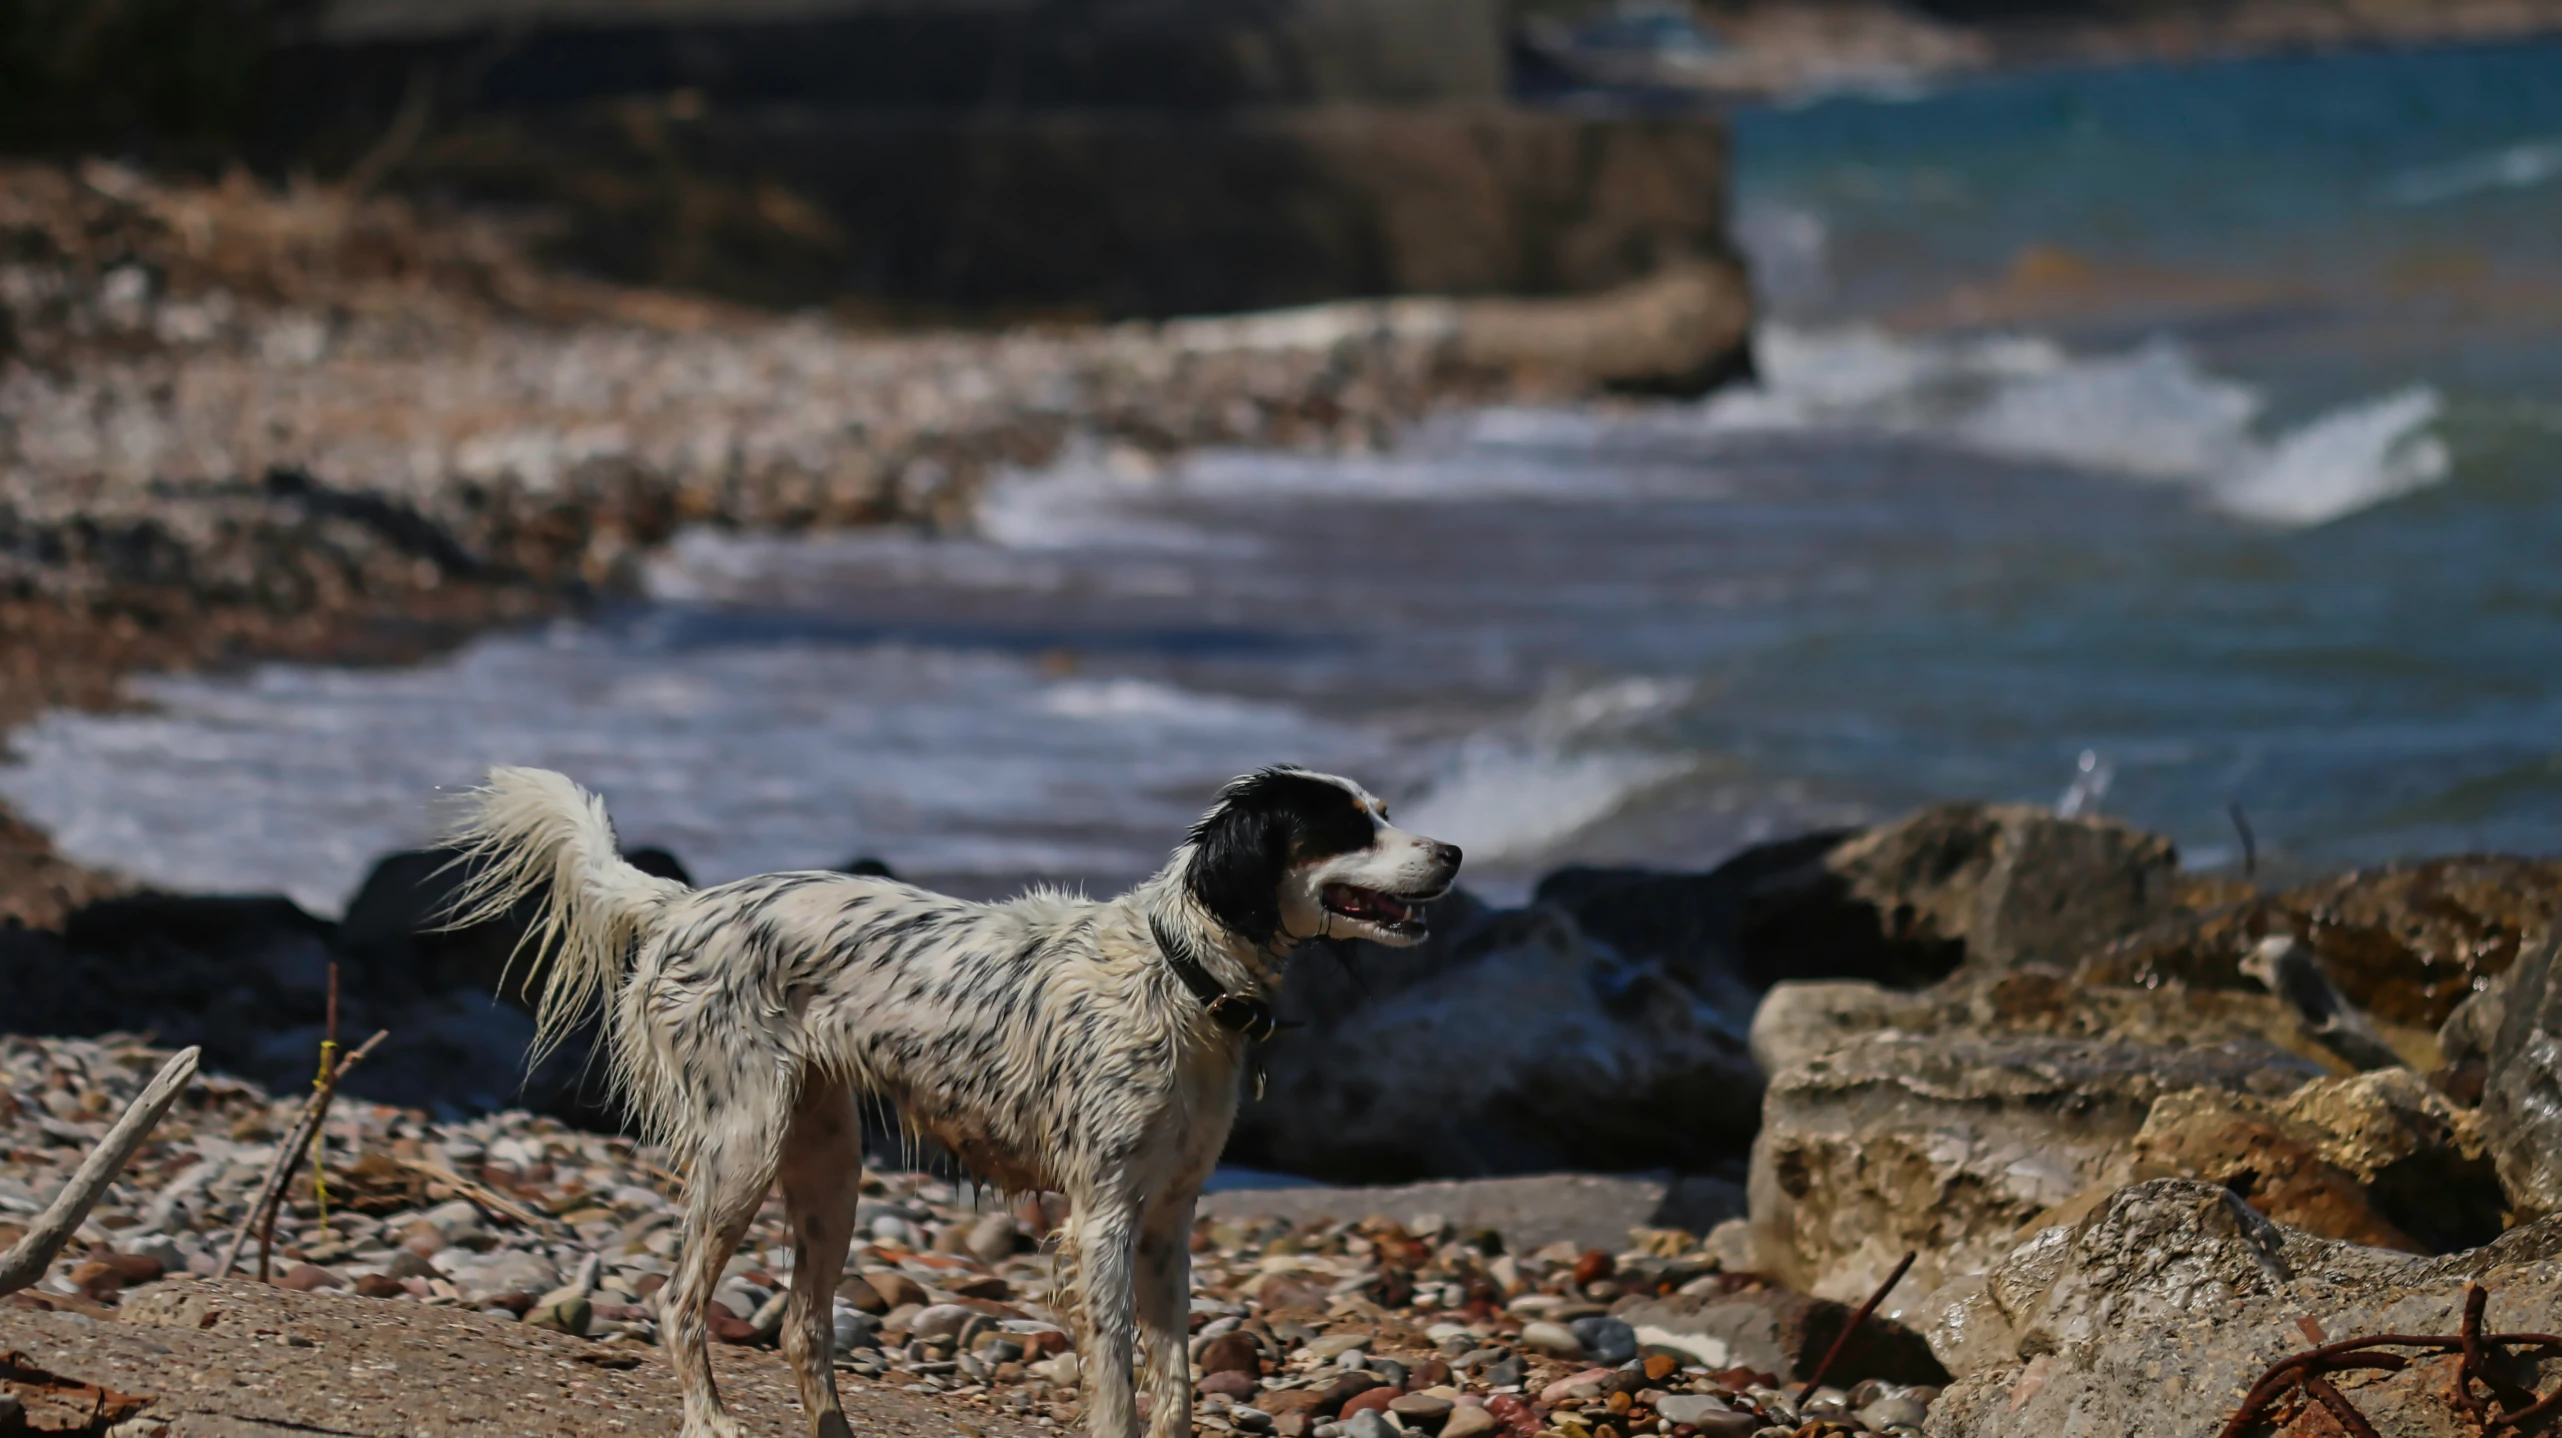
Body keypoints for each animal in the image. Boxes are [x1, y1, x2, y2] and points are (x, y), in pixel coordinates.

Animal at [445, 768, 1465, 1425]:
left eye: (1384, 812)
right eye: (1349, 828)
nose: (1455, 851)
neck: (1179, 977)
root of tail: (683, 904)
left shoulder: (1169, 1224)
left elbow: (1174, 1391)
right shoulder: (1102, 1220)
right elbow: (1120, 1388)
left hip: (828, 1168)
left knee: (803, 1329)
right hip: (744, 1147)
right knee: (678, 1302)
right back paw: (708, 1420)